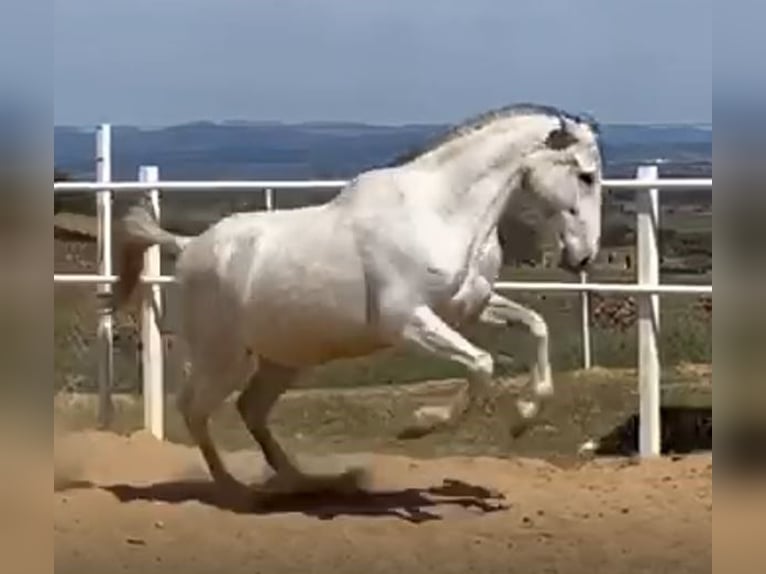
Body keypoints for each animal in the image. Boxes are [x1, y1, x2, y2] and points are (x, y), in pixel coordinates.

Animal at [117, 103, 604, 500]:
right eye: (586, 176)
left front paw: (524, 416)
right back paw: (234, 489)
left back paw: (302, 482)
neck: (441, 214)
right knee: (194, 409)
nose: (582, 257)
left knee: (250, 408)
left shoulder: (469, 309)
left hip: (284, 358)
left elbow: (536, 326)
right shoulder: (407, 323)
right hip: (224, 356)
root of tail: (188, 245)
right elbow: (482, 364)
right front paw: (419, 424)